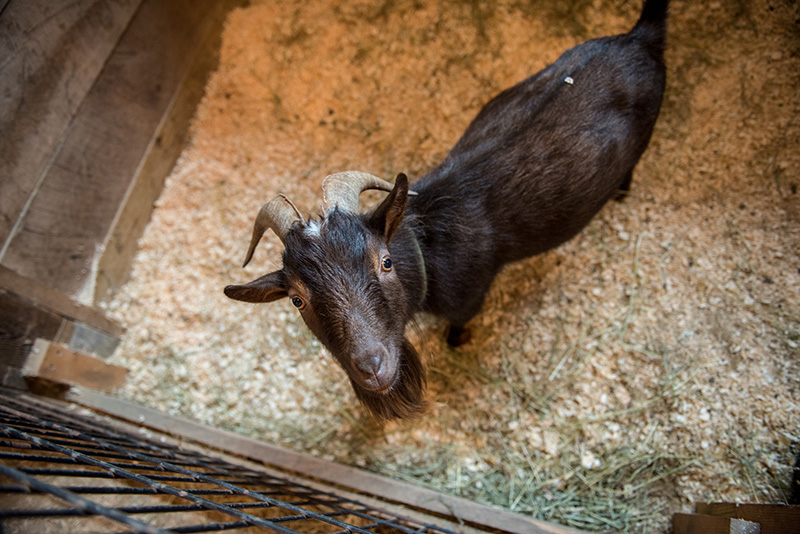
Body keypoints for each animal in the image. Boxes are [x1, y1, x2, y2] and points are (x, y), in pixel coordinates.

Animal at [224, 0, 670, 420]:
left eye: (385, 262)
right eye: (297, 300)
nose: (372, 368)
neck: (427, 248)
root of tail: (639, 37)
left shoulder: (470, 298)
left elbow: (459, 324)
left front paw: (459, 342)